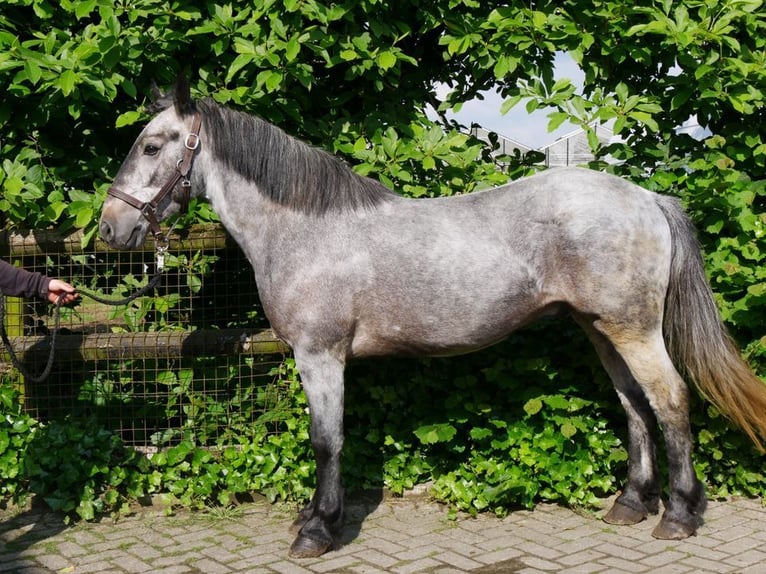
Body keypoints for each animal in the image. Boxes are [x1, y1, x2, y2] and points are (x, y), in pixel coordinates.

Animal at [99, 79, 766, 560]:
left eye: (152, 146)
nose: (110, 227)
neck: (305, 229)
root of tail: (648, 198)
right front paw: (314, 518)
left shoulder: (320, 356)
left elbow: (326, 441)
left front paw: (317, 530)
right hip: (600, 329)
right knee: (634, 405)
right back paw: (630, 504)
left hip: (633, 329)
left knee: (671, 400)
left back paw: (677, 516)